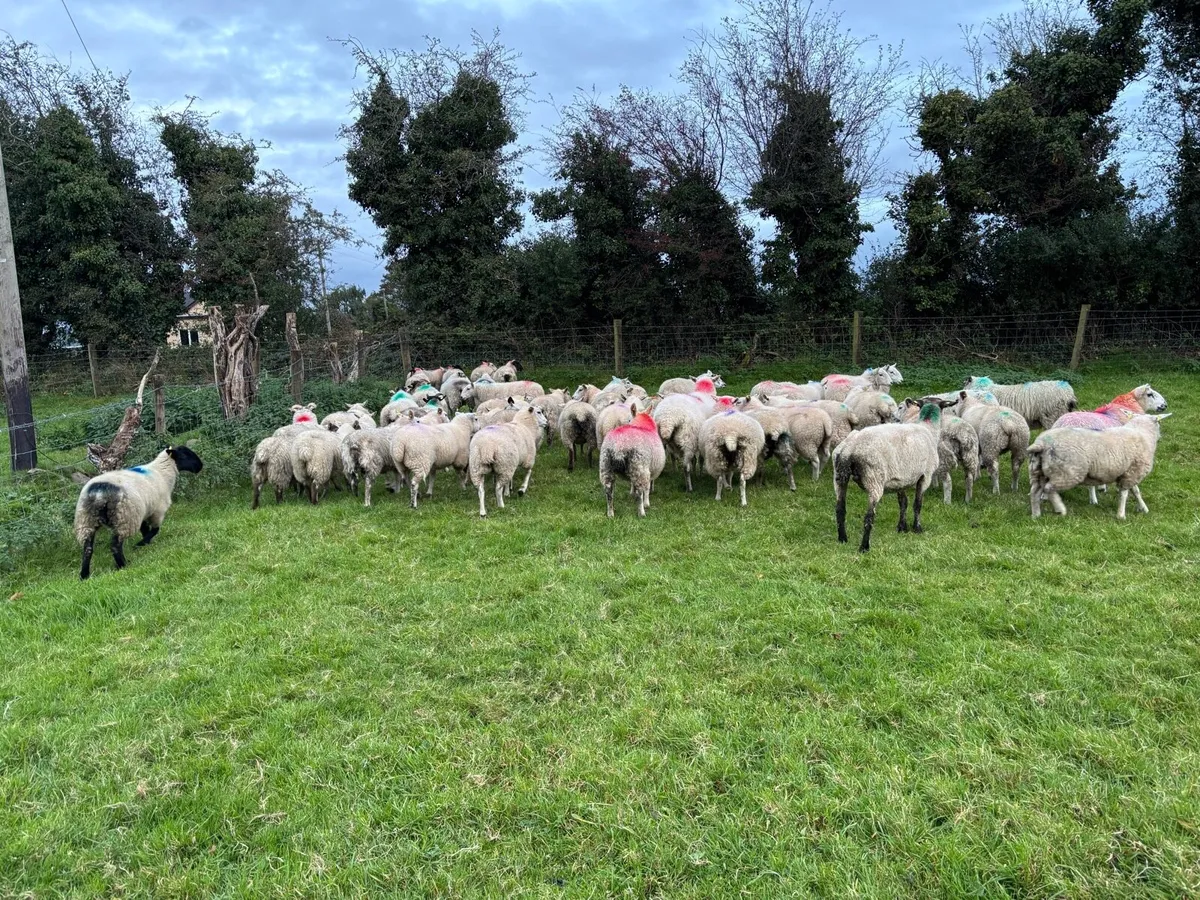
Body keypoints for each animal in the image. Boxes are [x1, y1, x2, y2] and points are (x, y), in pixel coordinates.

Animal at [75, 445, 204, 579]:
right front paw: (140, 544)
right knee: (115, 546)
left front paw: (146, 543)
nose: (200, 466)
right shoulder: (158, 510)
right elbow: (155, 530)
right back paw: (123, 565)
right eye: (184, 455)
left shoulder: (143, 512)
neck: (162, 472)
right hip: (124, 518)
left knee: (88, 549)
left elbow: (145, 529)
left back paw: (84, 575)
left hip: (86, 520)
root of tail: (99, 493)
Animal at [833, 400, 946, 552]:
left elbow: (903, 502)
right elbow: (917, 504)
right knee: (869, 517)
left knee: (840, 510)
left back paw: (842, 539)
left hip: (839, 477)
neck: (928, 429)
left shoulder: (901, 479)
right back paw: (864, 547)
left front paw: (902, 527)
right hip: (874, 479)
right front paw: (917, 528)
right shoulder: (925, 476)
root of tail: (849, 449)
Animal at [1028, 414, 1169, 519]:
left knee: (1036, 491)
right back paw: (1060, 509)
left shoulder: (1130, 471)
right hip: (1066, 473)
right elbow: (1124, 494)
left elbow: (1136, 491)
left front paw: (1143, 508)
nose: (1161, 437)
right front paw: (1121, 515)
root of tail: (1042, 444)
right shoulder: (1132, 473)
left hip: (1039, 471)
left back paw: (1036, 514)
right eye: (1159, 423)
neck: (1142, 433)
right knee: (1049, 489)